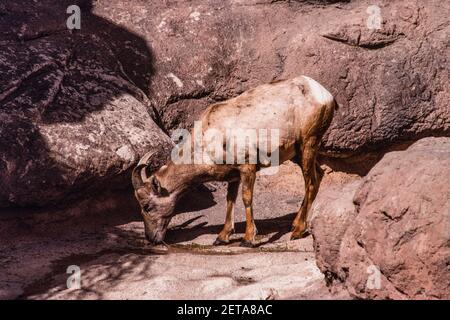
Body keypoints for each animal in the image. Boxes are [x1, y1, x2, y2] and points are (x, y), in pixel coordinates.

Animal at [133, 76, 338, 246]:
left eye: (147, 206)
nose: (151, 238)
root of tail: (325, 95)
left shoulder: (247, 167)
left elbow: (246, 198)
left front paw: (248, 239)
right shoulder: (233, 175)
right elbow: (230, 200)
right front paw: (222, 237)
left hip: (308, 144)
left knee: (310, 182)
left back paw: (297, 231)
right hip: (299, 154)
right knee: (319, 175)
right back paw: (293, 225)